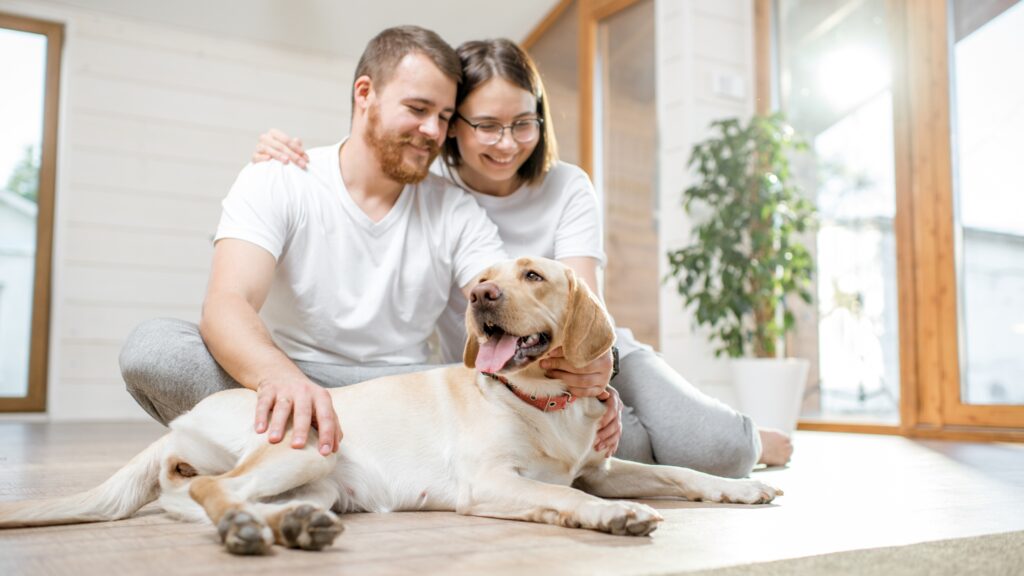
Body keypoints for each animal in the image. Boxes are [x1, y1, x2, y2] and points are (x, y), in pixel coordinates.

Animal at [0, 255, 778, 553]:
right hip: (306, 446)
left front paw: (742, 488)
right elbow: (569, 499)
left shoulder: (600, 466)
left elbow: (680, 472)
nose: (480, 296)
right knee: (215, 492)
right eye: (484, 277)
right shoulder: (492, 482)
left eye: (532, 275)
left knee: (209, 498)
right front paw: (614, 518)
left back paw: (292, 526)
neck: (543, 401)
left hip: (320, 479)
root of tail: (177, 431)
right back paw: (251, 532)